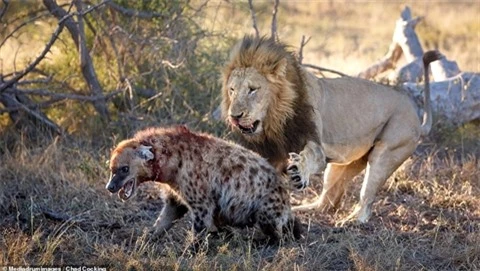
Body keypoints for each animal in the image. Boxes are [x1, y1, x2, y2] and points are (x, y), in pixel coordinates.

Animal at [220, 35, 438, 224]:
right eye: (232, 90)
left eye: (252, 89)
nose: (234, 116)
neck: (275, 122)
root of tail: (416, 117)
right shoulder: (271, 152)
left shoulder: (314, 143)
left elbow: (310, 156)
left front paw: (298, 173)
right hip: (343, 165)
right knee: (326, 202)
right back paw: (302, 209)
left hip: (386, 154)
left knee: (366, 200)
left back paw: (351, 222)